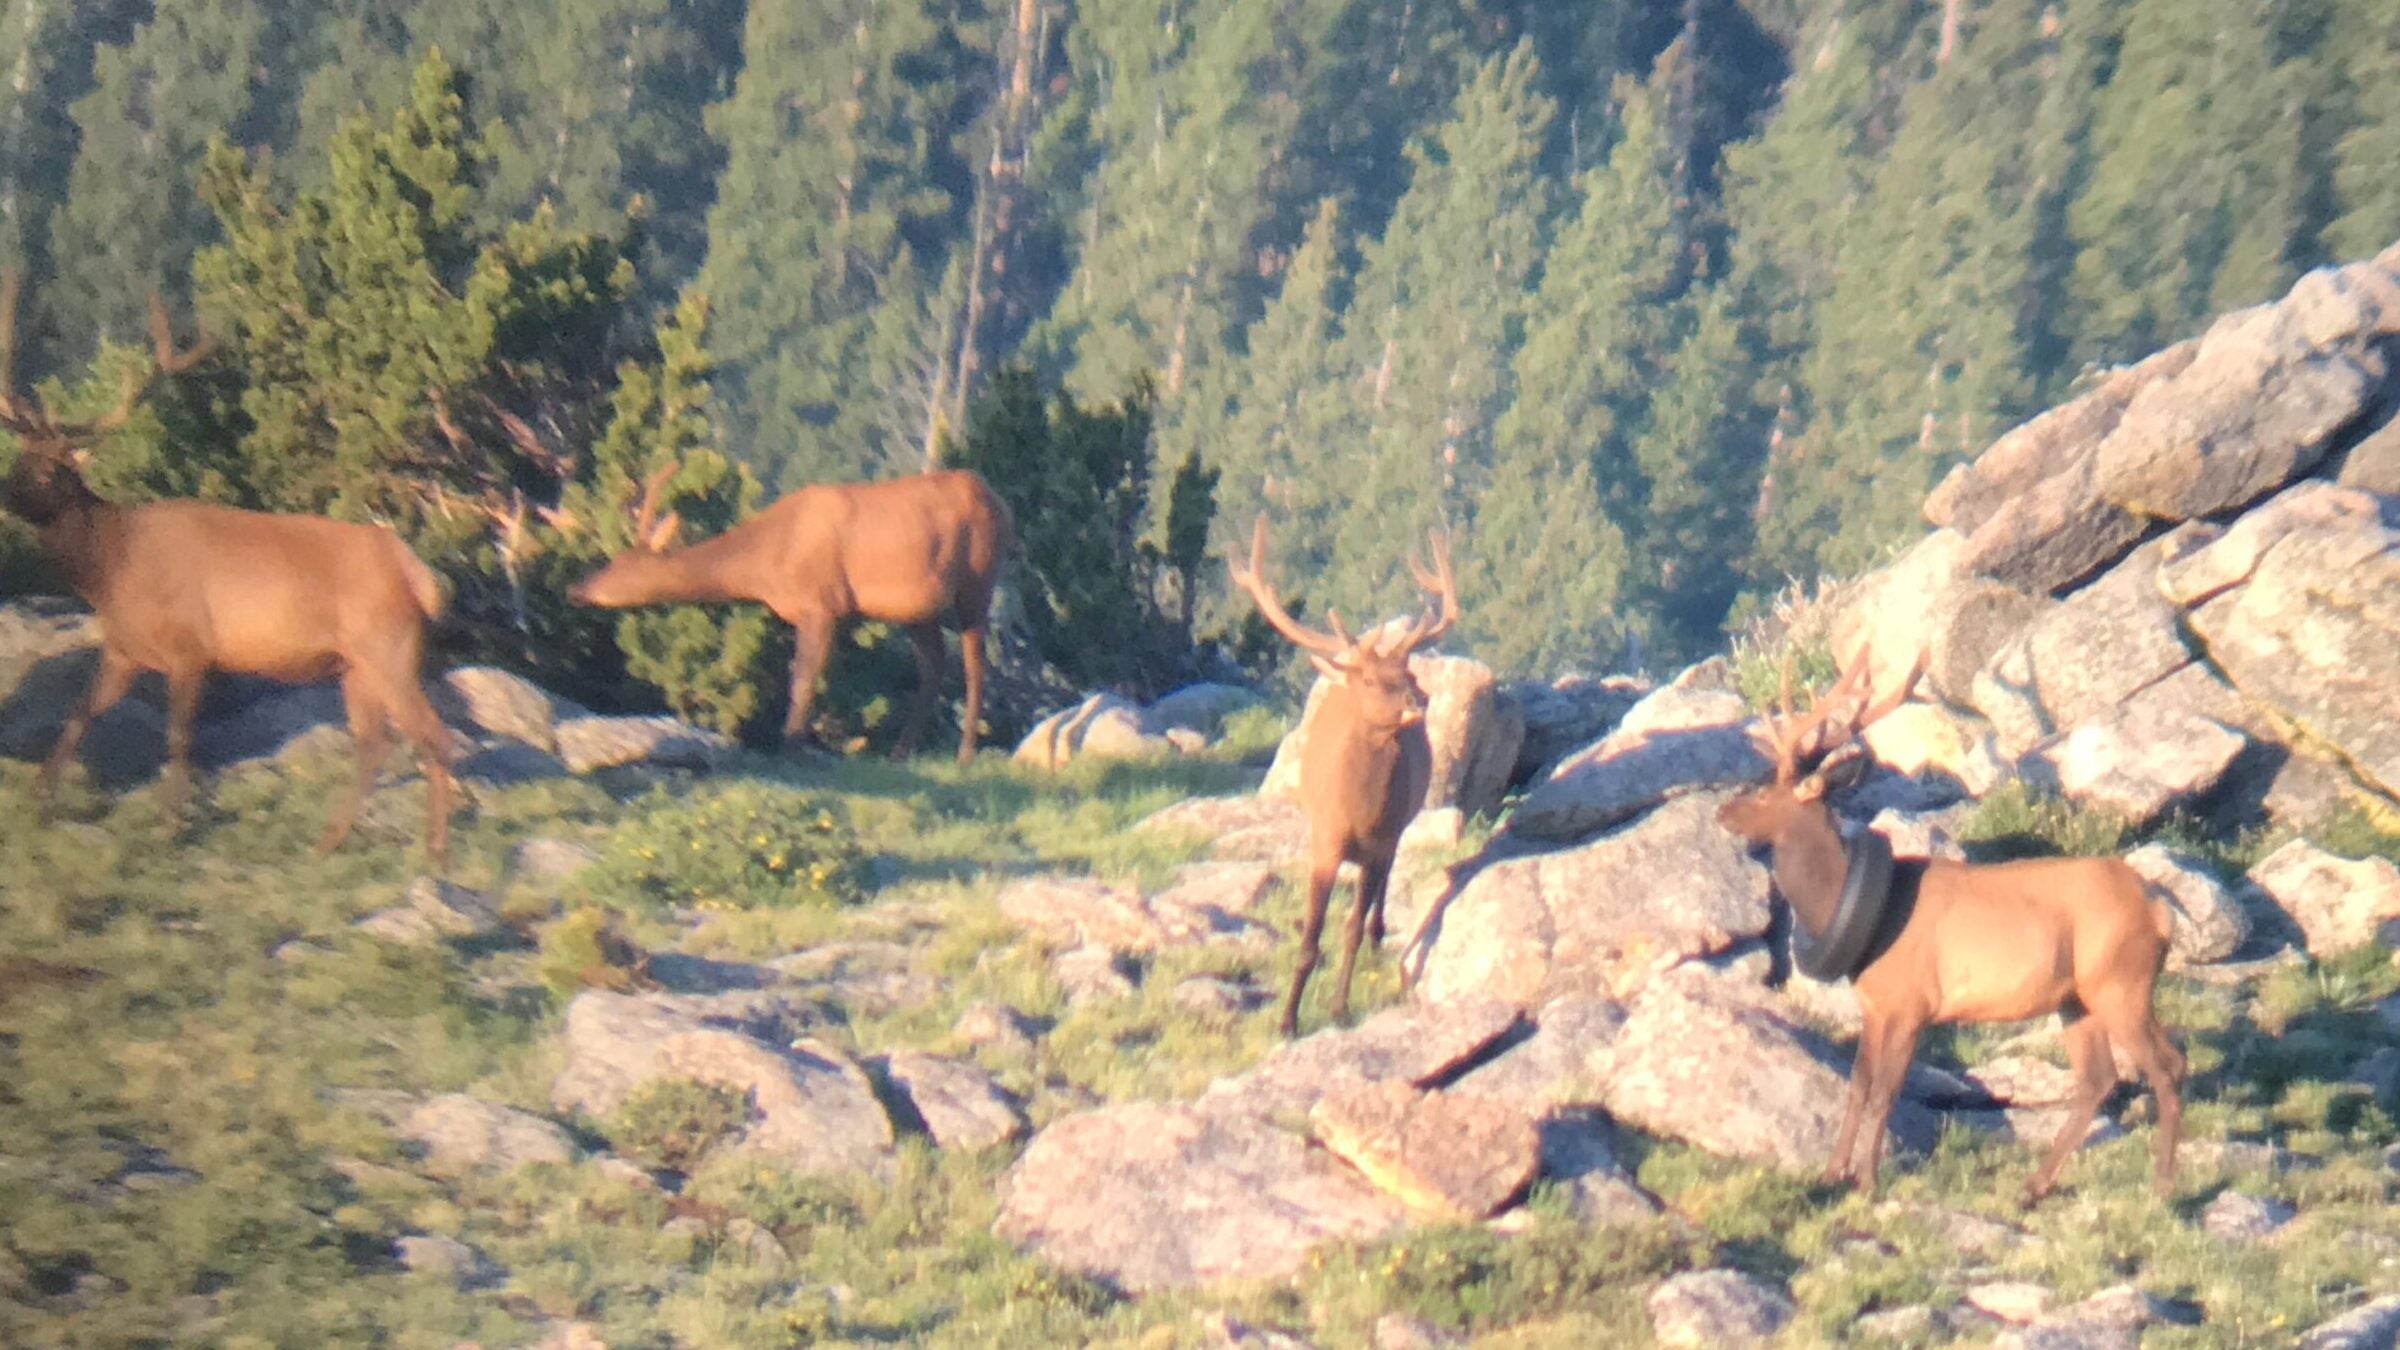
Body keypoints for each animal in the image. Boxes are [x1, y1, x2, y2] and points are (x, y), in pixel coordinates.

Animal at [0, 272, 457, 867]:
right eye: (18, 458)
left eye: (53, 470)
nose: (6, 492)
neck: (111, 570)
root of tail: (418, 574)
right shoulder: (122, 649)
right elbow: (80, 714)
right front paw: (39, 799)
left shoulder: (191, 647)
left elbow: (177, 737)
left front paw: (171, 824)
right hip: (355, 664)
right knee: (374, 743)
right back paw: (328, 841)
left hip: (390, 647)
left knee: (434, 736)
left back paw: (436, 853)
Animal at [566, 463, 1014, 763]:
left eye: (619, 565)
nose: (577, 589)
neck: (768, 564)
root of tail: (1000, 501)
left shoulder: (822, 604)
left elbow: (803, 678)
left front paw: (791, 744)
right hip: (917, 608)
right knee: (935, 664)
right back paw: (901, 752)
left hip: (978, 579)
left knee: (974, 662)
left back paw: (965, 752)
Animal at [1226, 514, 1458, 1037]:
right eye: (1370, 680)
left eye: (1409, 674)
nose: (1417, 704)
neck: (1359, 812)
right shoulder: (1325, 840)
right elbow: (1311, 937)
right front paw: (1287, 1021)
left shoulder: (1380, 841)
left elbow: (1349, 927)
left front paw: (1338, 1009)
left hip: (1398, 832)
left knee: (1379, 896)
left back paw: (1376, 939)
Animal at [1715, 644, 2183, 1205]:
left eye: (1766, 792)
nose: (1724, 811)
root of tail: (2157, 909)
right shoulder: (1876, 1005)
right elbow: (1857, 1087)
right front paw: (1831, 1174)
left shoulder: (1914, 1003)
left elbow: (1885, 1092)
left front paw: (1867, 1181)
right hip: (2077, 998)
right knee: (2099, 1079)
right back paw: (2032, 1187)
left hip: (2121, 981)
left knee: (2167, 1064)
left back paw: (2162, 1188)